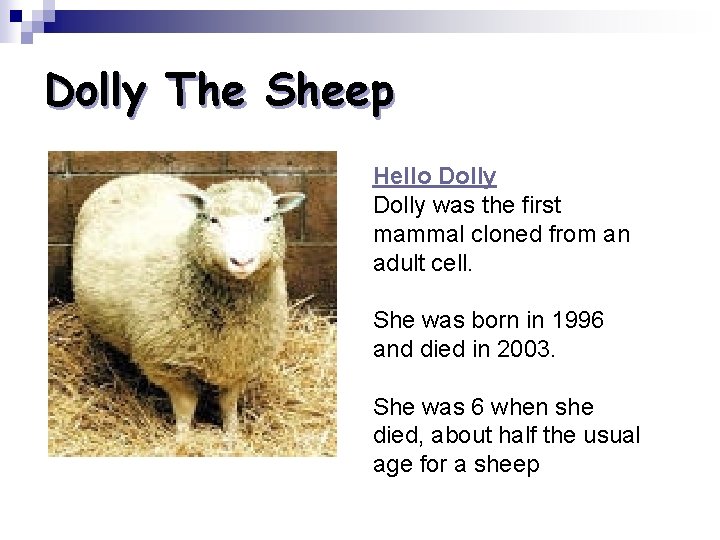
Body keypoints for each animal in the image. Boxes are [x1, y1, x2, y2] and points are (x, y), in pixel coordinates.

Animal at [72, 174, 305, 435]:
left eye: (267, 218)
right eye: (213, 219)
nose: (242, 261)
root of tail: (133, 175)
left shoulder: (240, 360)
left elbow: (229, 403)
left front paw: (232, 434)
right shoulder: (171, 365)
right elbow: (185, 409)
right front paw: (183, 437)